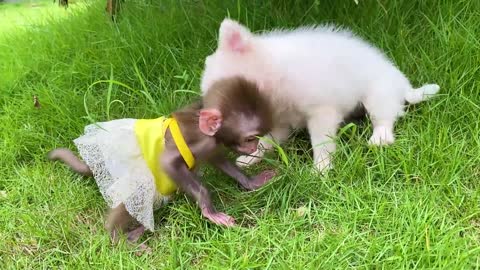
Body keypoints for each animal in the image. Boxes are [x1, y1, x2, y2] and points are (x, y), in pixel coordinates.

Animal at [49, 76, 276, 251]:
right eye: (250, 138)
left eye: (257, 137)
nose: (254, 147)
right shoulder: (201, 141)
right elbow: (168, 163)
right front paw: (208, 211)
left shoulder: (211, 145)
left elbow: (218, 160)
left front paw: (250, 182)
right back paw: (118, 238)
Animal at [201, 19, 440, 172]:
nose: (206, 124)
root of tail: (404, 85)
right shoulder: (280, 124)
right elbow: (266, 142)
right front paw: (251, 158)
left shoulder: (321, 113)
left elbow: (321, 144)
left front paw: (321, 169)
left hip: (377, 95)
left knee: (384, 118)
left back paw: (380, 137)